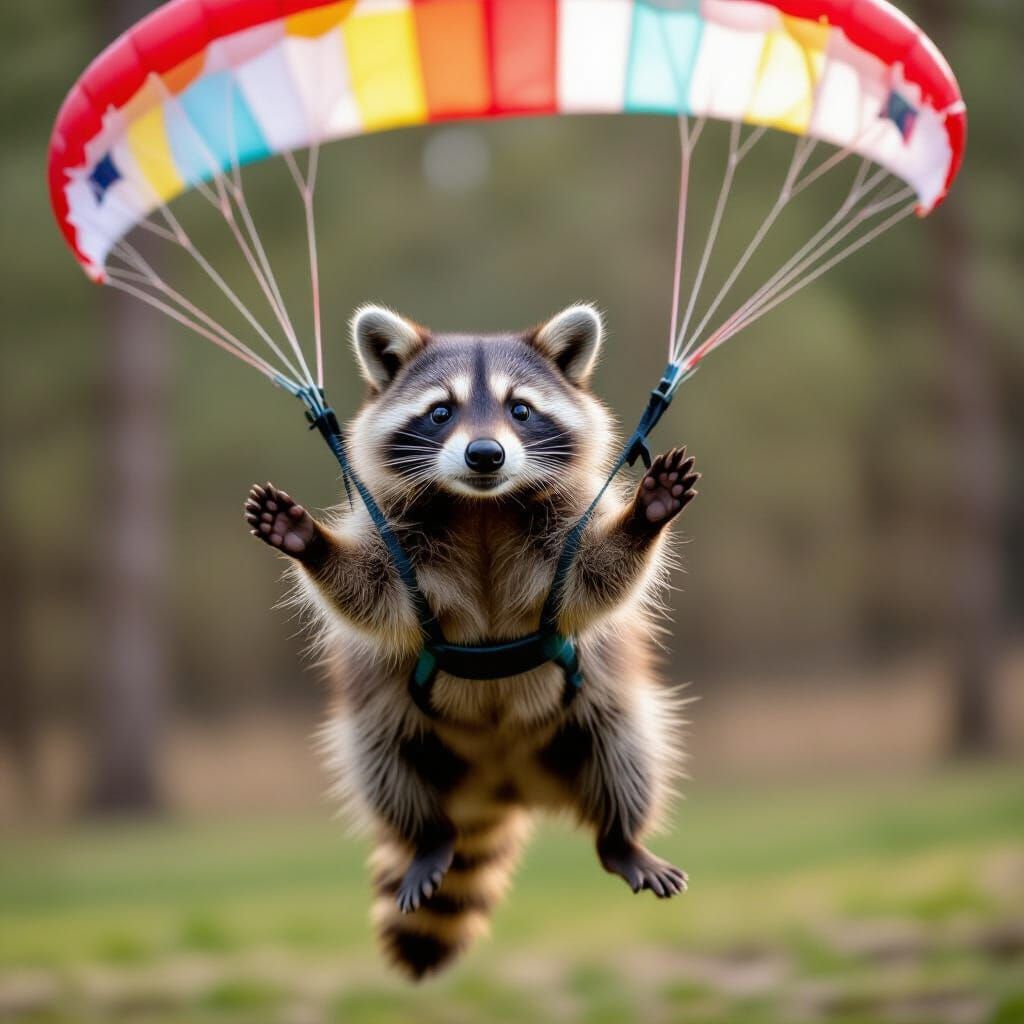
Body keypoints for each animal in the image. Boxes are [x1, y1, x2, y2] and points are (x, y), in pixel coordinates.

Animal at [244, 303, 699, 979]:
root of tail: (500, 786)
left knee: (628, 754)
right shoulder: (401, 541)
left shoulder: (563, 530)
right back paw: (430, 838)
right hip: (389, 722)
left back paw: (621, 839)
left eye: (520, 409)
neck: (482, 507)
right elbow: (369, 591)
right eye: (440, 412)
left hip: (600, 713)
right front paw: (313, 544)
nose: (485, 454)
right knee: (385, 769)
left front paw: (646, 517)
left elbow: (597, 575)